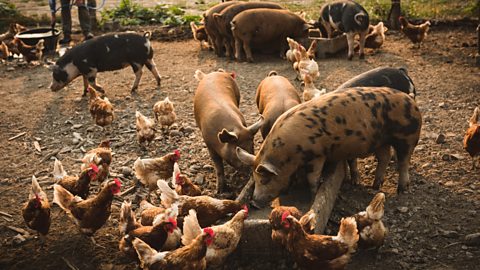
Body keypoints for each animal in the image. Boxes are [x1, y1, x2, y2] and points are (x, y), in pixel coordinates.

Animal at [236, 86, 420, 207]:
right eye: (255, 178)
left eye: (265, 179)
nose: (253, 203)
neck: (289, 153)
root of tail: (411, 100)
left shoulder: (318, 155)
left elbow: (313, 177)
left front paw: (312, 195)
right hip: (381, 140)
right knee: (384, 157)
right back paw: (375, 186)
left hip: (407, 137)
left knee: (403, 161)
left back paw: (401, 190)